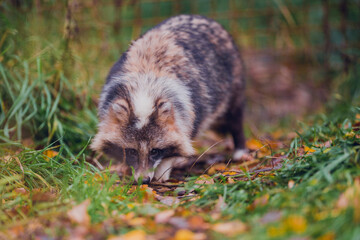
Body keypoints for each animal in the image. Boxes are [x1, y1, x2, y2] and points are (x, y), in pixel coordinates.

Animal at [91, 15, 246, 183]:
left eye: (154, 151)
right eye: (132, 151)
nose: (144, 180)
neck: (144, 87)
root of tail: (202, 18)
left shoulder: (187, 109)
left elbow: (181, 138)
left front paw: (162, 172)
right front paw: (127, 168)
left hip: (234, 85)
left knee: (235, 117)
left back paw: (240, 148)